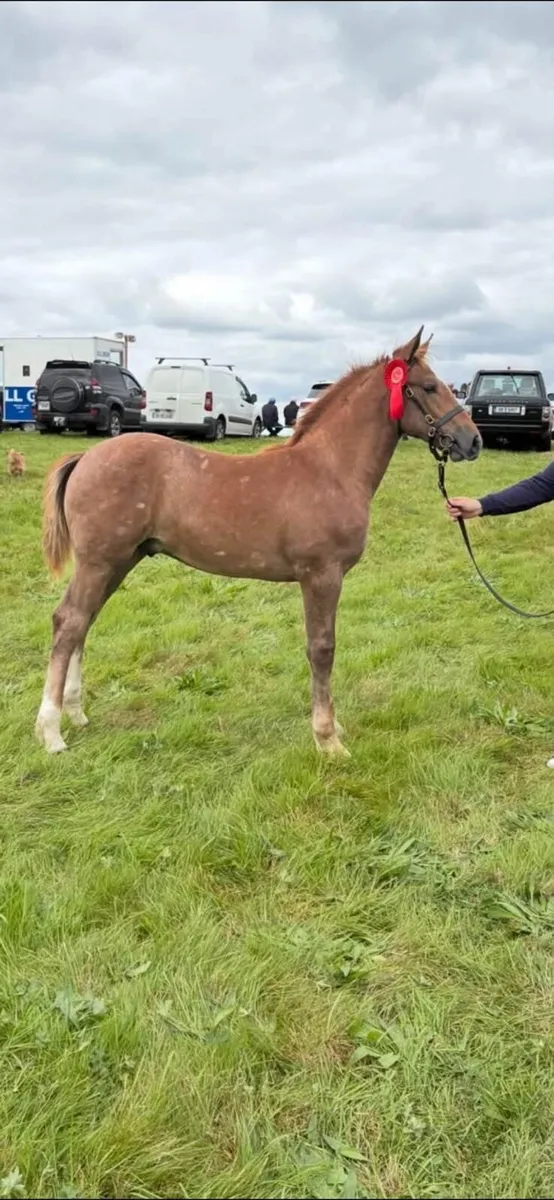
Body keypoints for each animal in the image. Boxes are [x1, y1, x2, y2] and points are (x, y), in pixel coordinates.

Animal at [36, 327, 481, 755]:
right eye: (428, 387)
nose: (472, 440)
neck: (331, 469)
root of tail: (85, 458)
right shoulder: (322, 576)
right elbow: (322, 649)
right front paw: (328, 739)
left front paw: (332, 729)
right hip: (99, 562)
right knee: (69, 621)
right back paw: (51, 731)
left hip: (119, 562)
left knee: (83, 622)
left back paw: (75, 713)